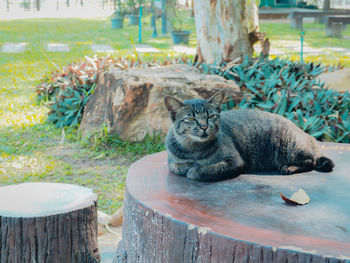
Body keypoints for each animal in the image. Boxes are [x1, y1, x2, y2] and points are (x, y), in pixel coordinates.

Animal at [164, 89, 334, 183]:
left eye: (211, 116)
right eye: (191, 119)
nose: (204, 126)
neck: (193, 150)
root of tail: (307, 134)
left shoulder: (234, 161)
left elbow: (205, 170)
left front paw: (194, 170)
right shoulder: (172, 161)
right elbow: (176, 166)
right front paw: (187, 165)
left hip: (290, 148)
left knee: (311, 161)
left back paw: (289, 167)